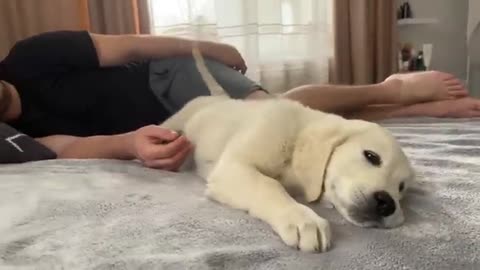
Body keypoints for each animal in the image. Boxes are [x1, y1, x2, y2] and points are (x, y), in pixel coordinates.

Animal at [159, 48, 414, 253]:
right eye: (371, 156)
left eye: (401, 188)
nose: (387, 203)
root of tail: (218, 98)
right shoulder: (233, 167)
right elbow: (268, 185)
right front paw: (303, 220)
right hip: (175, 122)